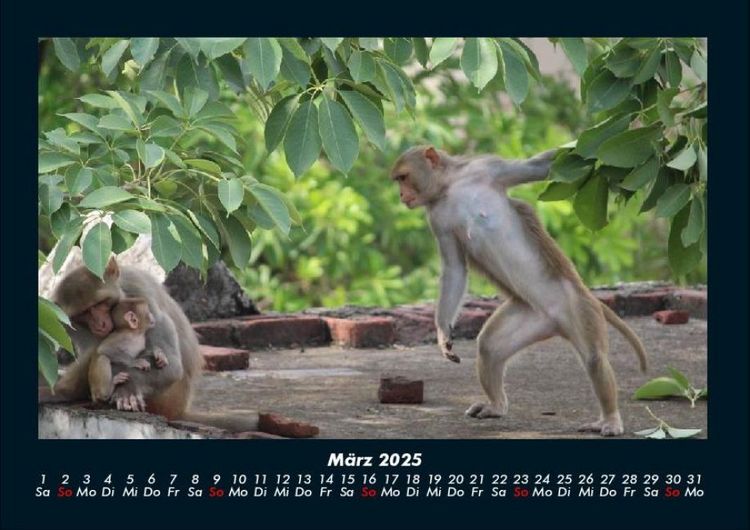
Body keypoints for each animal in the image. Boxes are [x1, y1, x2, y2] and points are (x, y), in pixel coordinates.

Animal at [51, 256, 258, 433]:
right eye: (84, 313)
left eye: (100, 303)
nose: (99, 324)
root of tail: (179, 411)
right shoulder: (67, 323)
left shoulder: (141, 293)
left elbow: (171, 366)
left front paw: (127, 389)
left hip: (169, 398)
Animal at [390, 146, 648, 436]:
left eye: (403, 177)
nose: (401, 195)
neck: (450, 187)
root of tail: (557, 321)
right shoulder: (437, 218)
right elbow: (454, 268)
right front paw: (443, 332)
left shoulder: (486, 167)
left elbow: (540, 166)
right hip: (532, 314)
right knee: (490, 347)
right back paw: (496, 405)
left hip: (580, 306)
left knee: (594, 359)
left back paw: (611, 419)